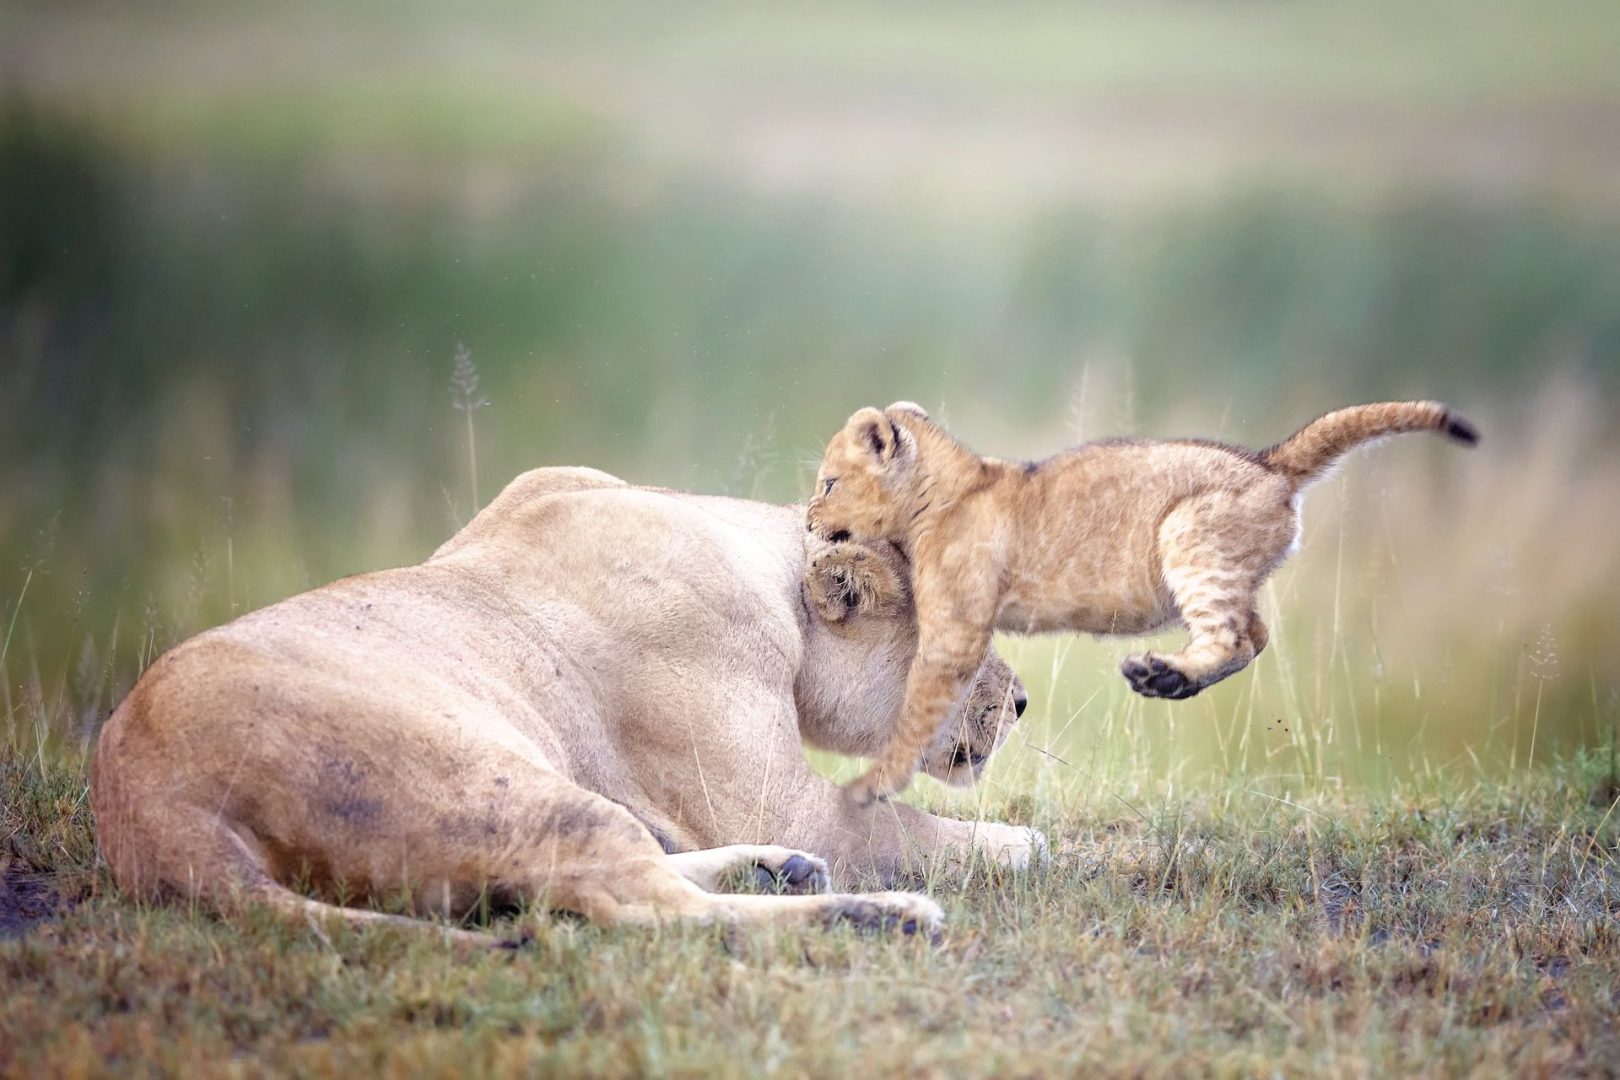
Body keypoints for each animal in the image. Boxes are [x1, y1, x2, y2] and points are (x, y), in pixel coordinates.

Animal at [91, 467, 1044, 946]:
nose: (1024, 702)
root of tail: (148, 808)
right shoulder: (781, 797)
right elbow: (907, 829)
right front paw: (1021, 845)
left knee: (607, 881)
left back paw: (786, 871)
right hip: (492, 779)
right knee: (640, 905)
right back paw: (880, 914)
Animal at [806, 400, 1478, 805]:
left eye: (830, 483)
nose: (810, 519)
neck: (948, 490)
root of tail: (1269, 464)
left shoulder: (956, 628)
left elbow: (918, 709)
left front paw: (871, 785)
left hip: (1187, 536)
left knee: (1233, 634)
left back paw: (1162, 675)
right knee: (1254, 633)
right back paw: (1170, 679)